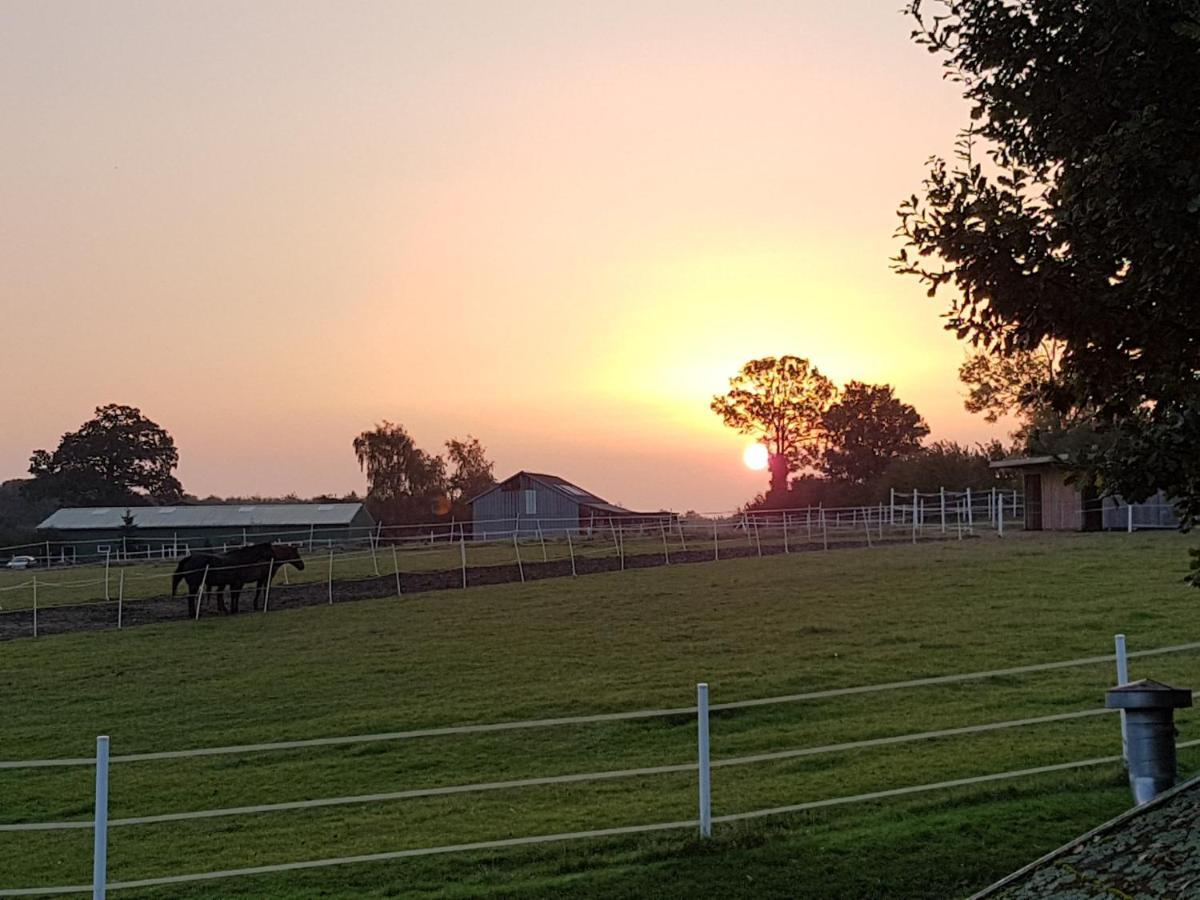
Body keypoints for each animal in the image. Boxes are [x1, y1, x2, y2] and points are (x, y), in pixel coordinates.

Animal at [172, 542, 304, 619]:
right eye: (297, 554)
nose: (302, 566)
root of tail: (189, 558)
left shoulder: (239, 583)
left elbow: (239, 595)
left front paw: (237, 609)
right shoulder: (260, 579)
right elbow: (260, 591)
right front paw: (260, 605)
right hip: (194, 585)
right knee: (191, 598)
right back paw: (193, 614)